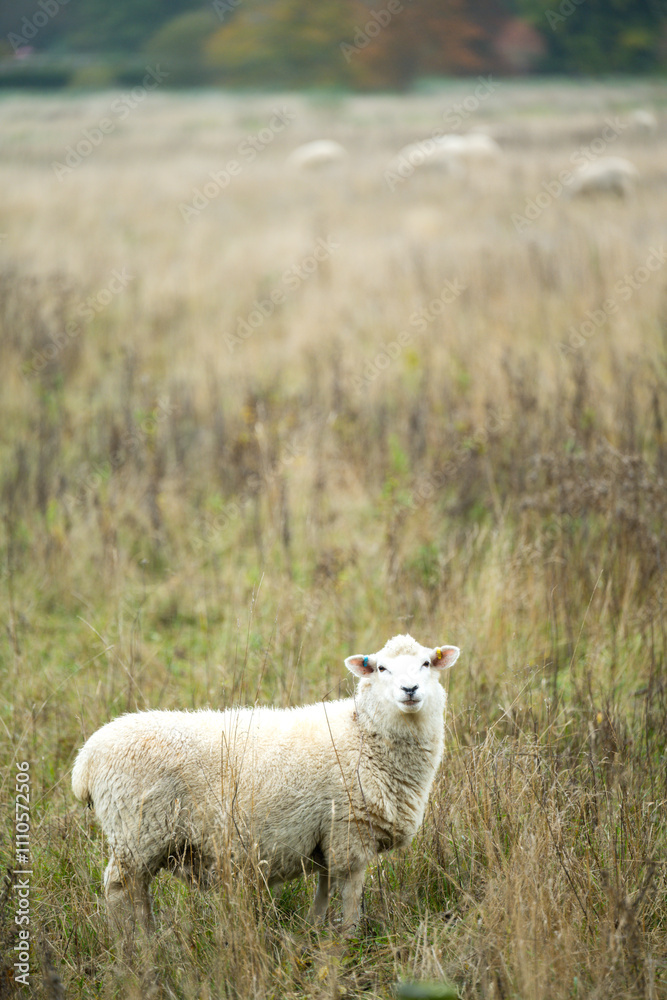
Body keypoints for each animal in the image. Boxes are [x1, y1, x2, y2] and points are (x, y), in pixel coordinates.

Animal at [72, 634, 460, 940]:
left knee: (135, 891)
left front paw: (314, 928)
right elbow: (350, 894)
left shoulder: (325, 834)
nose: (410, 690)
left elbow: (323, 887)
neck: (363, 733)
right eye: (381, 669)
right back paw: (136, 945)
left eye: (427, 663)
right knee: (121, 889)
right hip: (137, 833)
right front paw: (350, 939)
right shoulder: (350, 829)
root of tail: (85, 761)